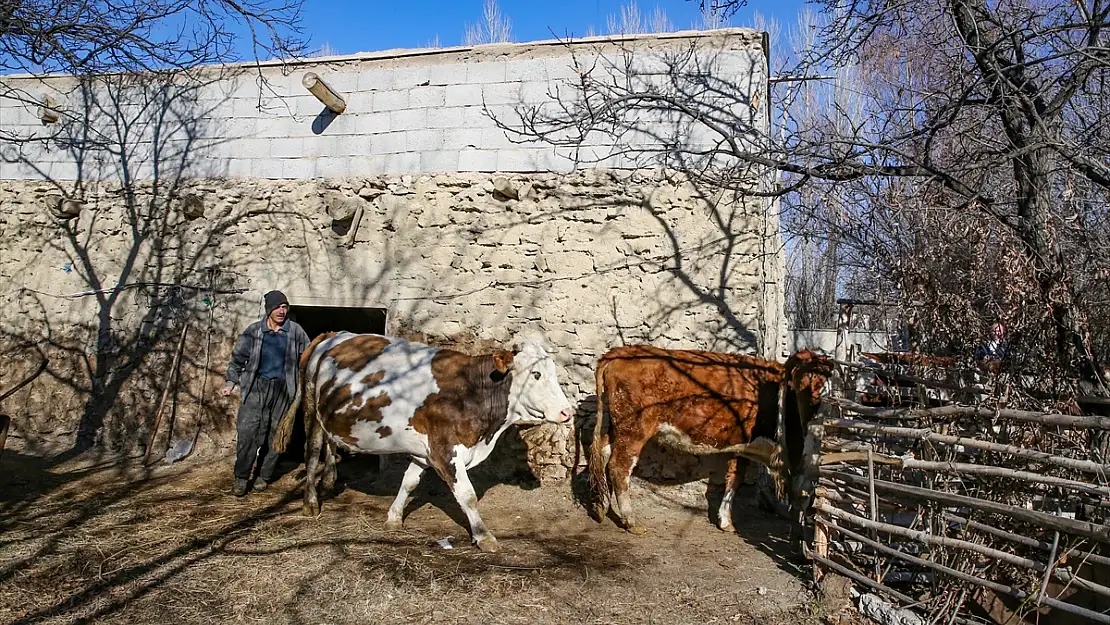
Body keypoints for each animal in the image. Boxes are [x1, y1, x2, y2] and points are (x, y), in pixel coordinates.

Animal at [275, 333, 572, 552]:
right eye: (536, 374)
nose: (566, 411)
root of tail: (333, 335)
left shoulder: (425, 450)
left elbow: (409, 482)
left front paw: (394, 517)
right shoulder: (445, 452)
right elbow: (468, 495)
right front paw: (483, 536)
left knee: (329, 444)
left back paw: (329, 481)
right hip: (311, 409)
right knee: (312, 450)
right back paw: (311, 502)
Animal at [590, 344, 834, 535]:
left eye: (824, 381)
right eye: (807, 379)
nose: (814, 401)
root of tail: (619, 351)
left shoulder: (742, 445)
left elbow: (734, 478)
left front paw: (726, 521)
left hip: (619, 428)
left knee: (602, 452)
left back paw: (602, 506)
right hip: (634, 430)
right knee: (619, 467)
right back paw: (631, 521)